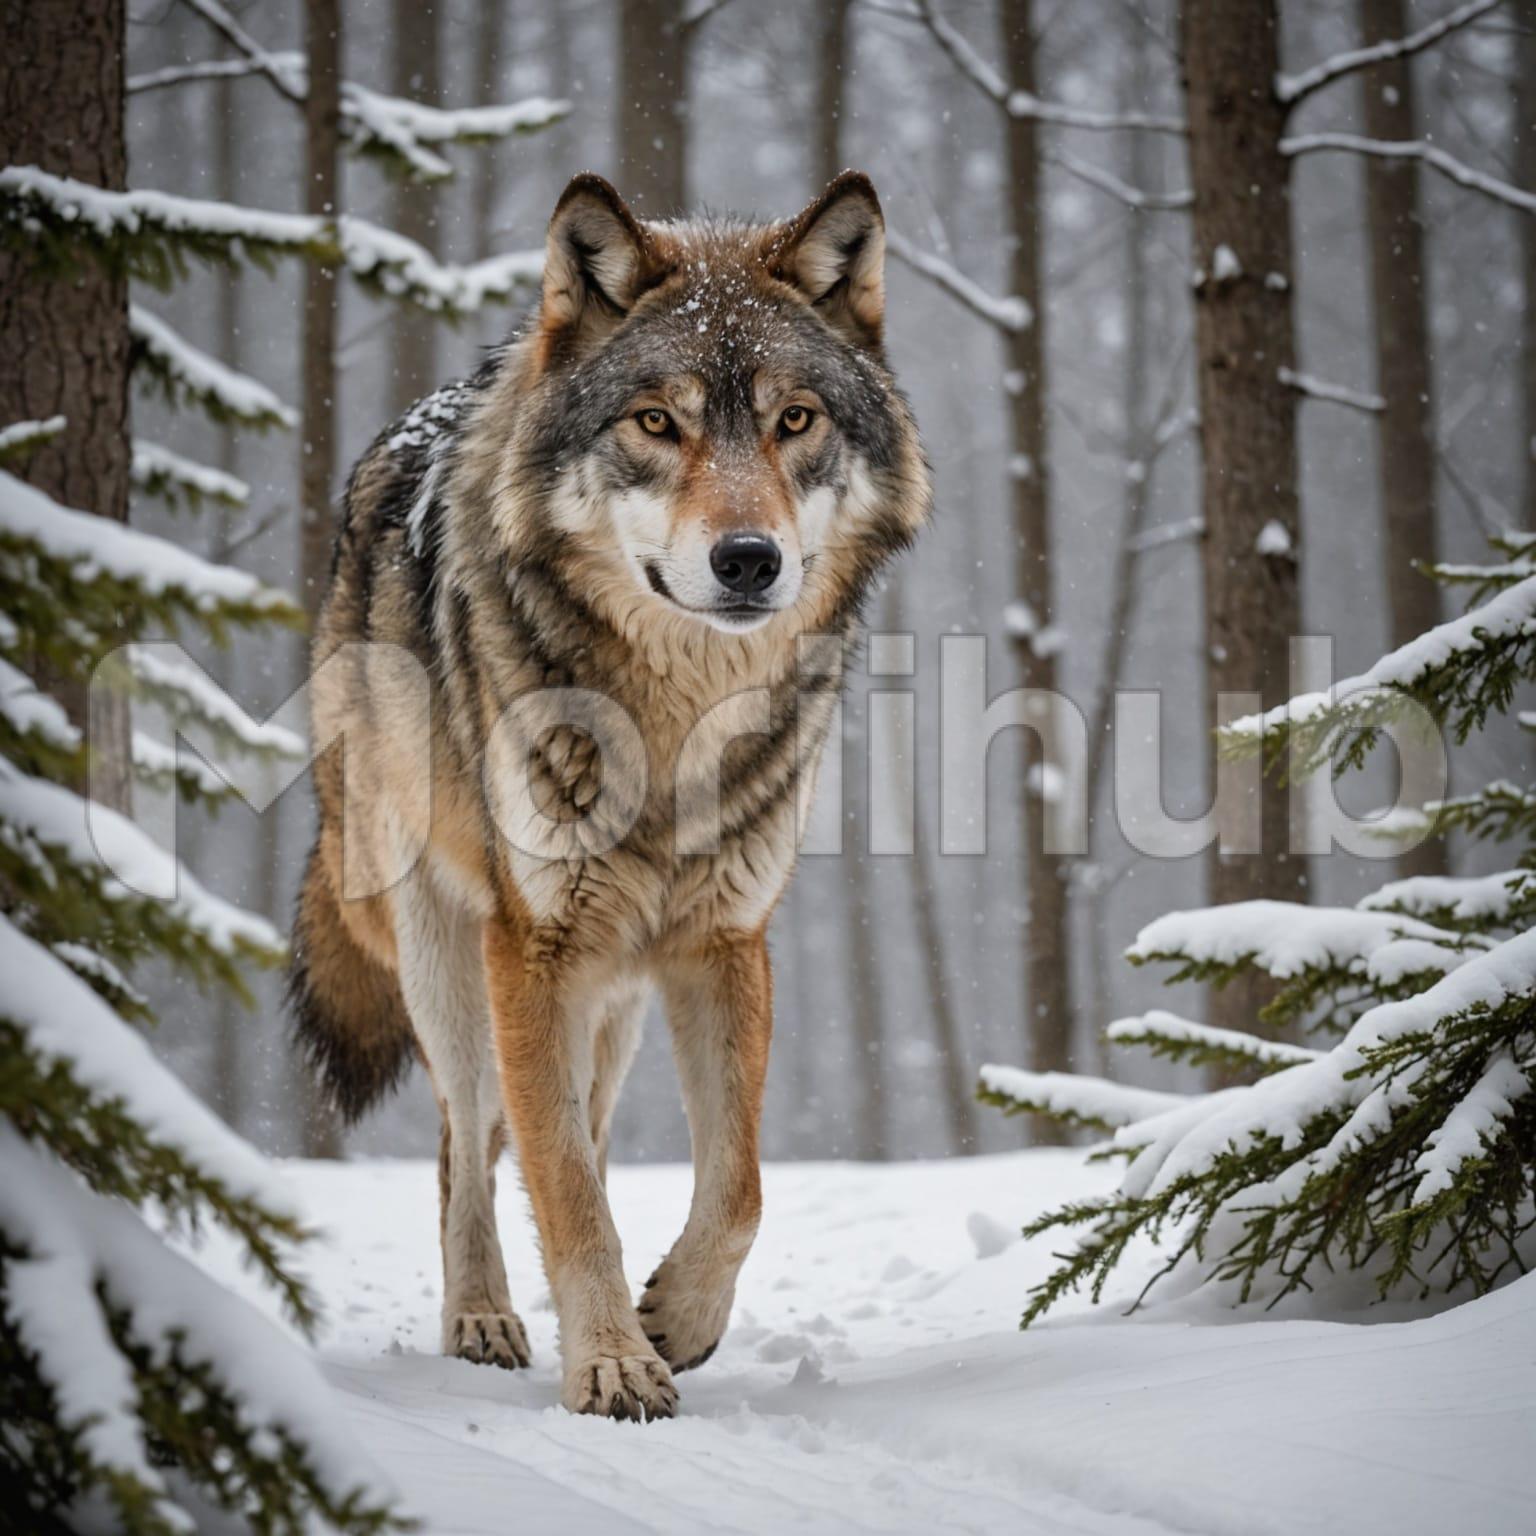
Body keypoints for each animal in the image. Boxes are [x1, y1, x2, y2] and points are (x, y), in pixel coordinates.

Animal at [290, 171, 930, 1420]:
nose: (749, 560)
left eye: (794, 421)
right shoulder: (530, 948)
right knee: (468, 1138)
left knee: (547, 1131)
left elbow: (737, 1185)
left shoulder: (724, 941)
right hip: (448, 955)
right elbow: (570, 1192)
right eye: (656, 423)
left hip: (615, 1006)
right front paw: (612, 1365)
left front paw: (676, 1319)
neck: (674, 724)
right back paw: (482, 1317)